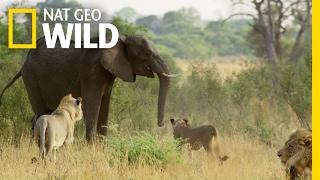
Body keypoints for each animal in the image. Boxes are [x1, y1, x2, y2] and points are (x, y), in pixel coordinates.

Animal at [0, 35, 175, 141]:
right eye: (147, 54)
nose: (162, 124)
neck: (120, 39)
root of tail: (24, 61)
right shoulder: (92, 72)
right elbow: (92, 106)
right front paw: (91, 148)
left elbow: (105, 107)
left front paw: (102, 147)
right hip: (32, 77)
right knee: (41, 113)